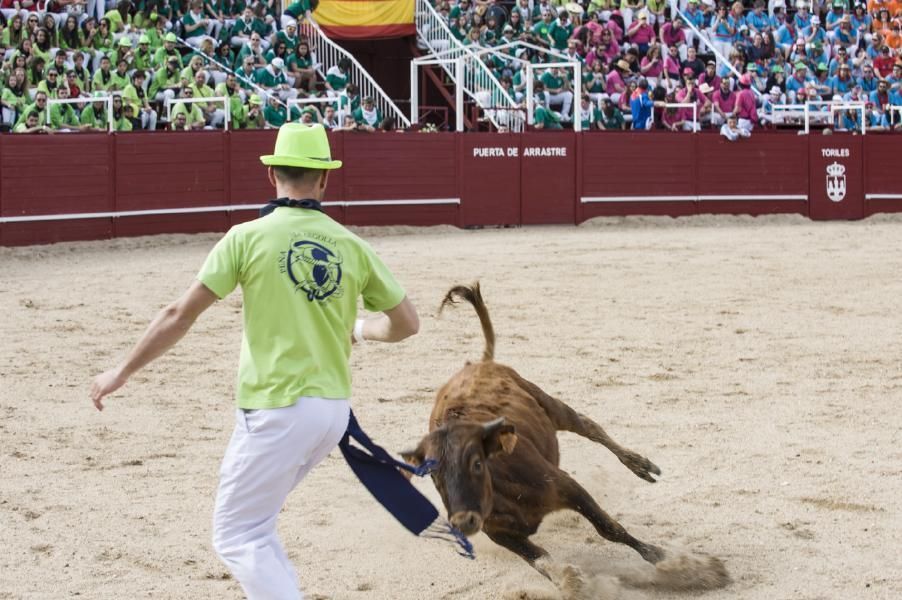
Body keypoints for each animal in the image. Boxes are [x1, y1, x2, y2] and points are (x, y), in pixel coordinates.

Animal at [406, 284, 668, 576]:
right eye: (433, 474)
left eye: (476, 463)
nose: (463, 521)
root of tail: (479, 364)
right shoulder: (499, 532)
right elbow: (541, 560)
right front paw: (570, 581)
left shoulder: (566, 485)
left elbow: (609, 527)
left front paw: (661, 557)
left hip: (548, 403)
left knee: (587, 425)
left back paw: (641, 465)